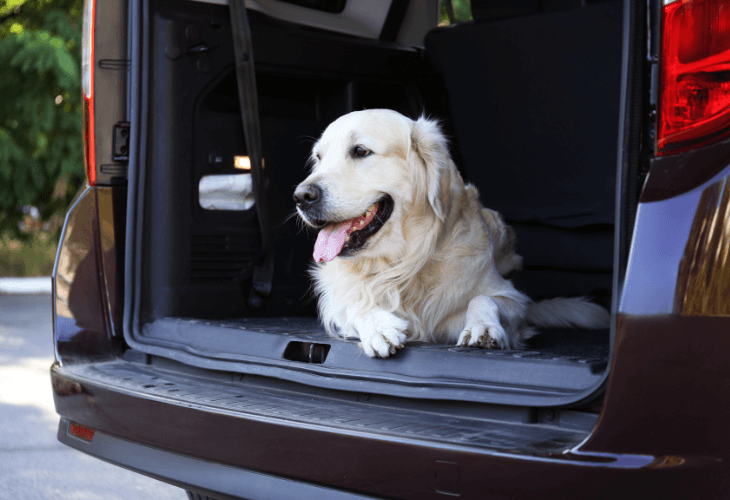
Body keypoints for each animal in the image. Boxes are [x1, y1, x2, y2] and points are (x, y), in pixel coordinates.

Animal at [292, 110, 604, 360]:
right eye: (319, 158)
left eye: (360, 151)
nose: (301, 196)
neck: (404, 264)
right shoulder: (337, 302)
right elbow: (354, 304)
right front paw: (378, 326)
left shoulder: (513, 300)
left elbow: (483, 298)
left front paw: (483, 326)